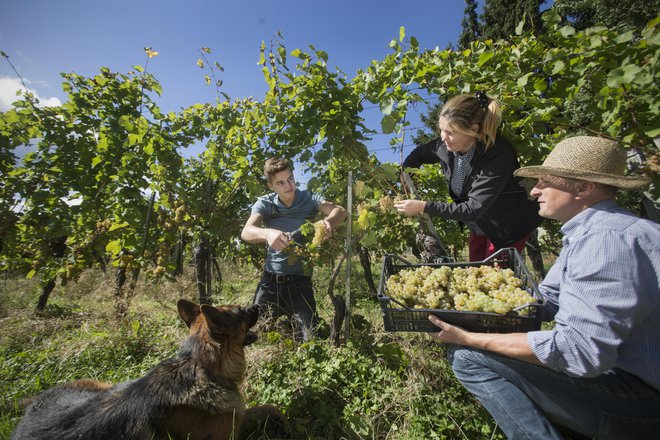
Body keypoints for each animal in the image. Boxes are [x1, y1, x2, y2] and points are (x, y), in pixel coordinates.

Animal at [10, 300, 288, 440]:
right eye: (241, 312)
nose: (257, 307)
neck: (199, 366)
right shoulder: (227, 433)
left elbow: (267, 407)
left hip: (101, 385)